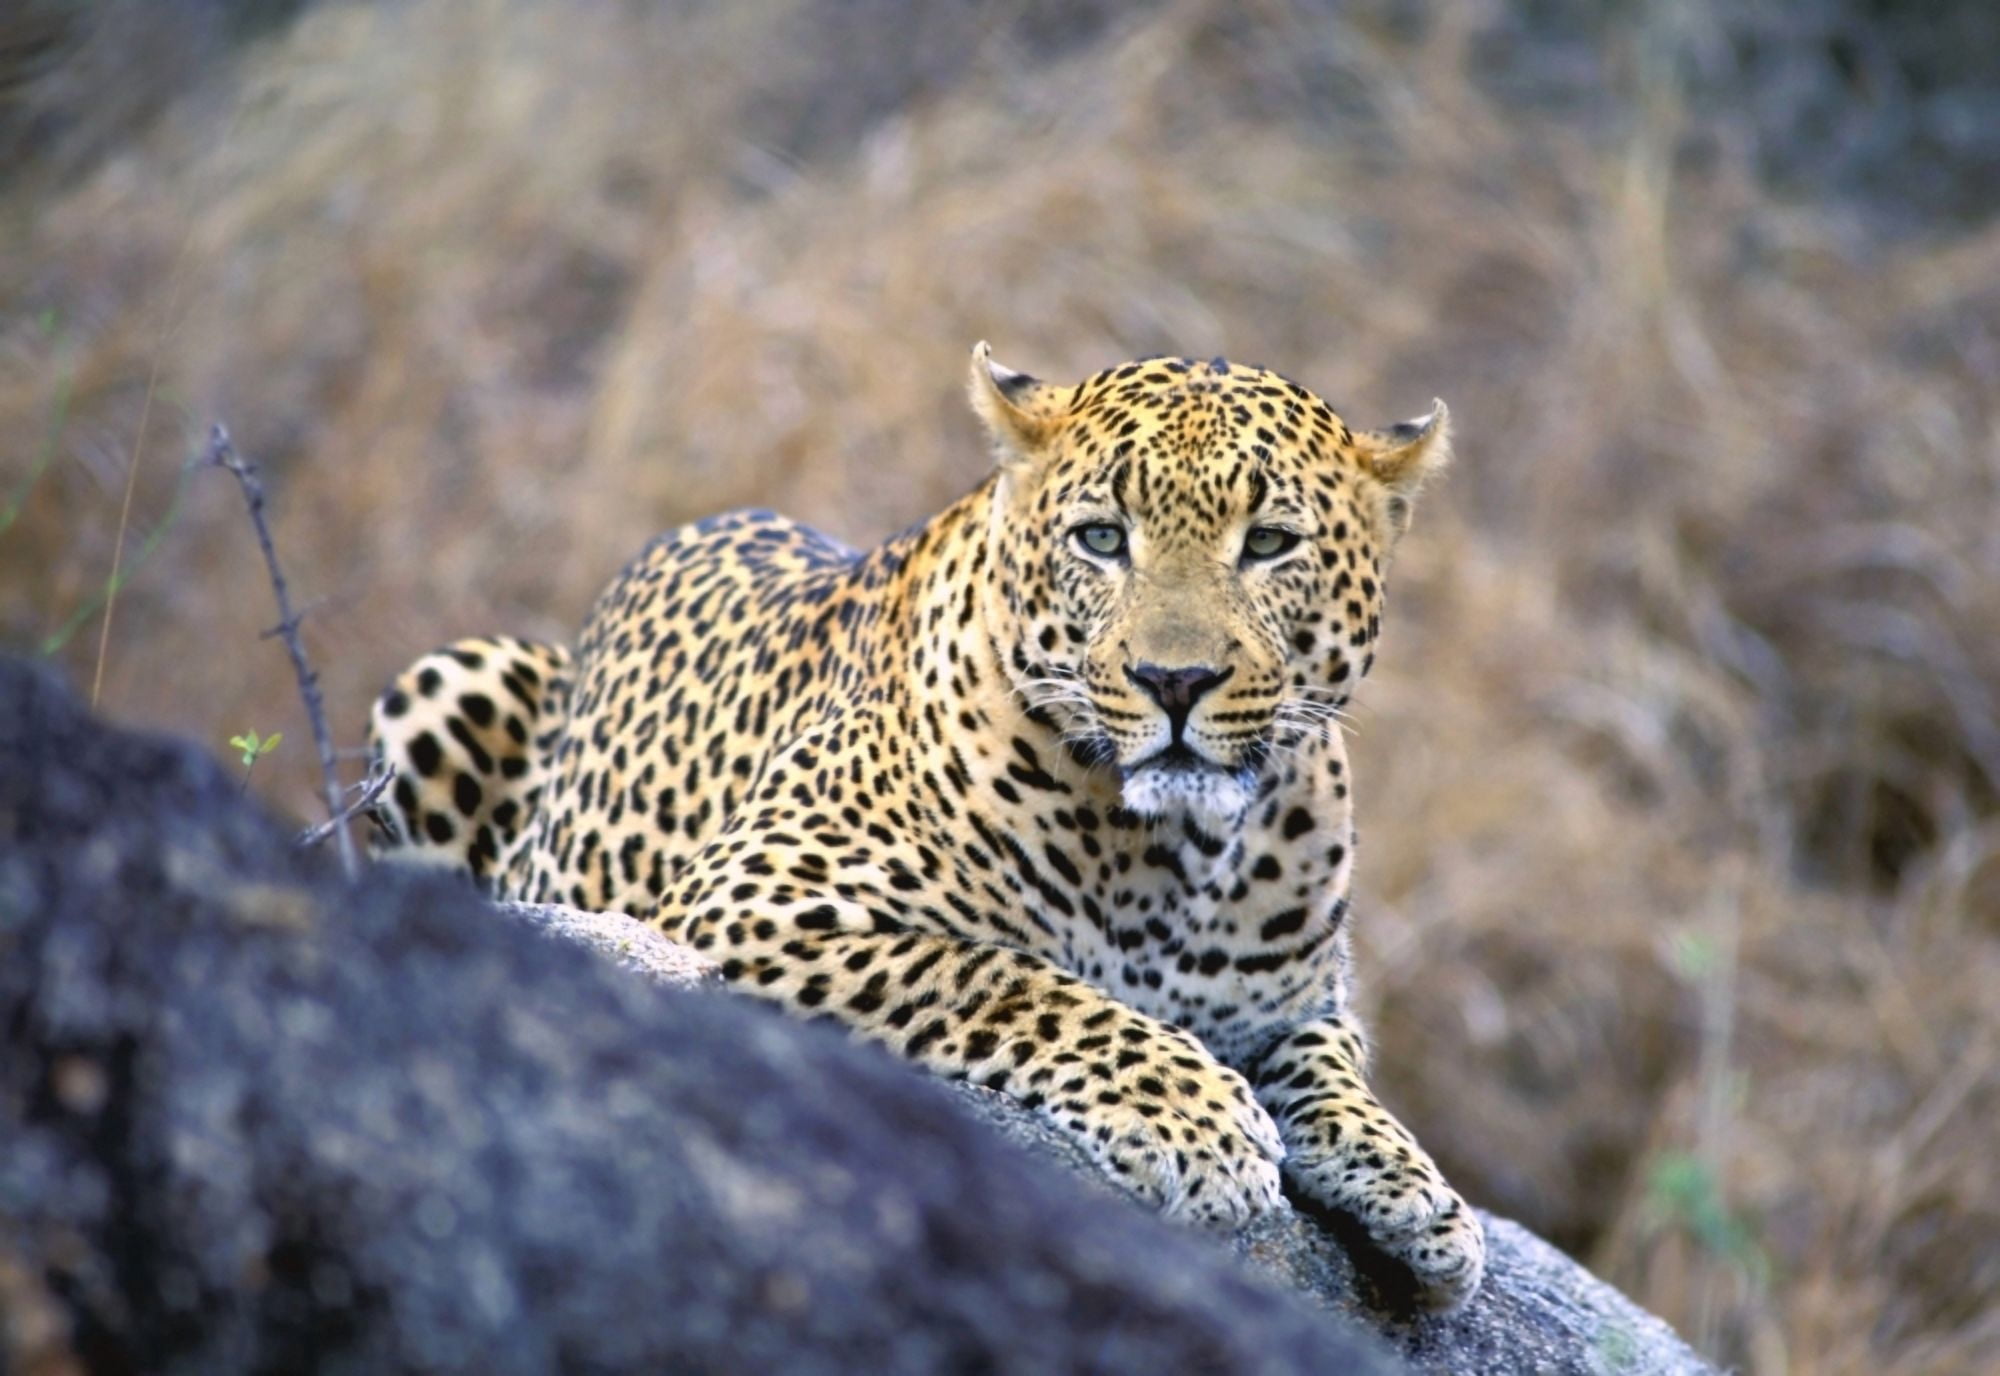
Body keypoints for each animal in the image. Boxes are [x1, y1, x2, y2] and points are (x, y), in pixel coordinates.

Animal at [366, 344, 1486, 1308]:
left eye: (1268, 544)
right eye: (1100, 537)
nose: (1175, 681)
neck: (1176, 852)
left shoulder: (1298, 999)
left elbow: (1334, 1069)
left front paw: (1418, 1191)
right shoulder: (753, 902)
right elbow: (1009, 978)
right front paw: (1196, 1119)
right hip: (452, 679)